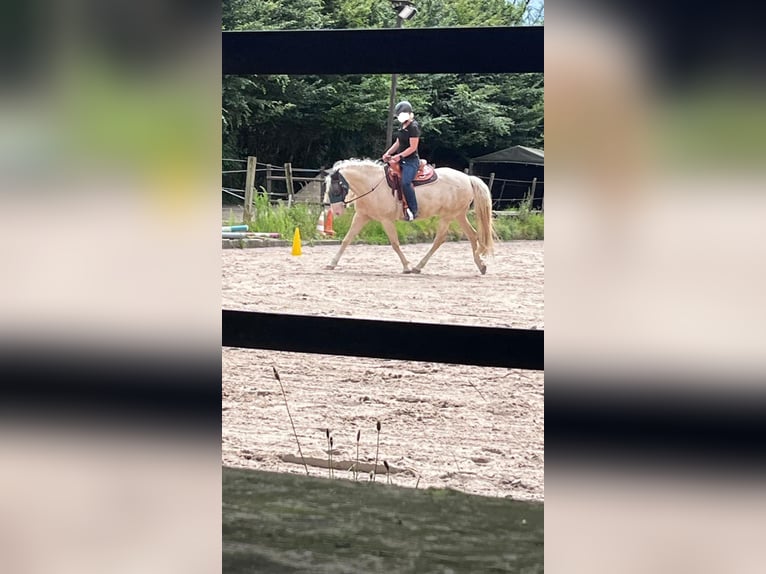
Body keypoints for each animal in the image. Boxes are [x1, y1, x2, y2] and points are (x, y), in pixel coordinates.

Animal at [320, 158, 496, 274]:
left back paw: (418, 266)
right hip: (459, 215)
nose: (334, 211)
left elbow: (395, 243)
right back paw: (481, 265)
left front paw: (406, 266)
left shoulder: (386, 220)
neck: (373, 184)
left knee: (440, 239)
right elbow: (346, 240)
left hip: (447, 216)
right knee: (473, 235)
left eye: (335, 188)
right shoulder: (361, 216)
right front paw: (331, 264)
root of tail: (468, 178)